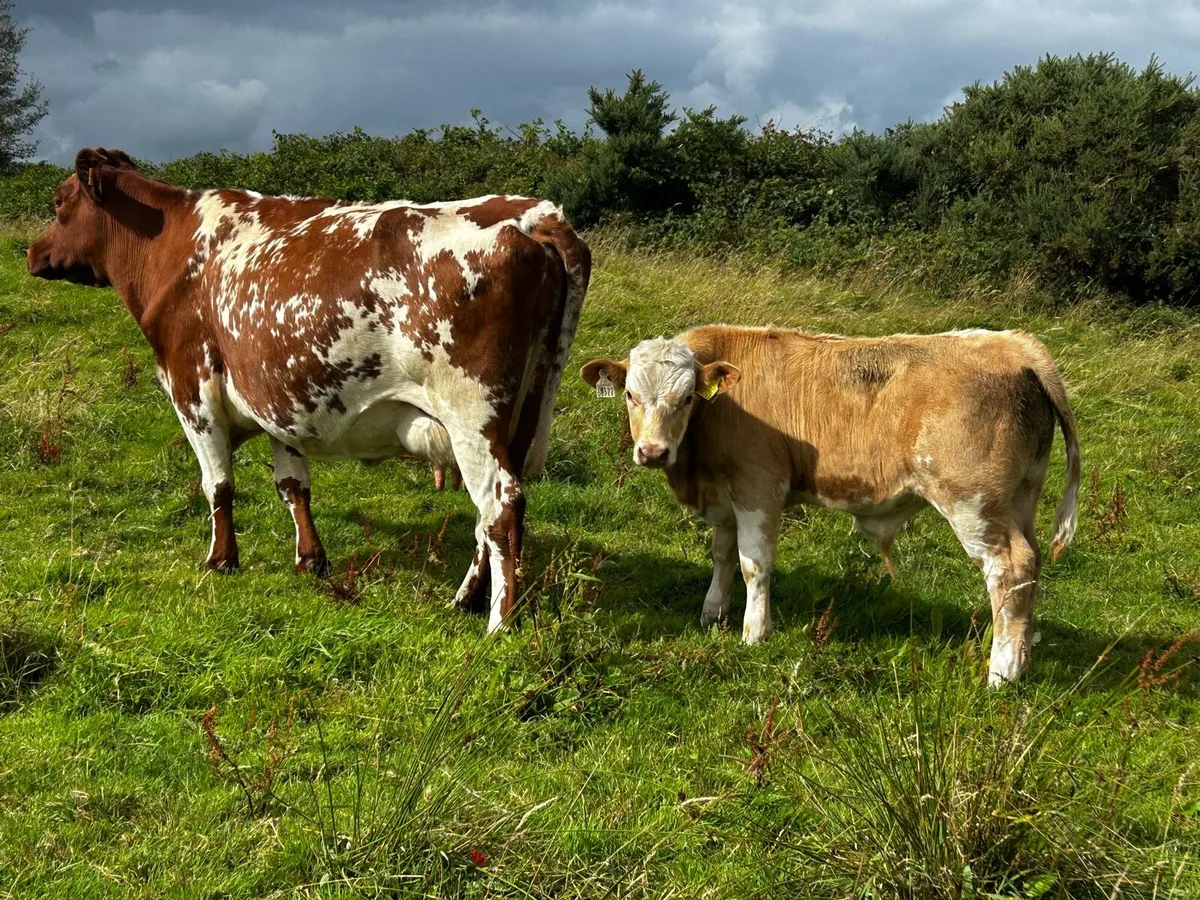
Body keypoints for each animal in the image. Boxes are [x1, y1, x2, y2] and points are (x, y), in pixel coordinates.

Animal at [28, 147, 590, 632]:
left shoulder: (192, 388)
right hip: (518, 415)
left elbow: (218, 484)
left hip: (471, 415)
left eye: (59, 201)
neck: (176, 247)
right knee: (488, 513)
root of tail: (535, 215)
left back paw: (500, 623)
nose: (31, 252)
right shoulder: (279, 398)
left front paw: (220, 560)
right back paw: (466, 598)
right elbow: (292, 485)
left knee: (501, 507)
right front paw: (310, 559)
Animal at [582, 325, 1080, 685]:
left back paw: (1003, 673)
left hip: (973, 503)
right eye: (630, 394)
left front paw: (754, 632)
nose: (652, 452)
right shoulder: (724, 494)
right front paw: (712, 613)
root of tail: (1015, 345)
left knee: (1008, 571)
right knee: (1030, 569)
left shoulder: (758, 487)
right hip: (1019, 499)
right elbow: (722, 556)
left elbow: (753, 565)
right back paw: (1022, 660)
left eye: (686, 398)